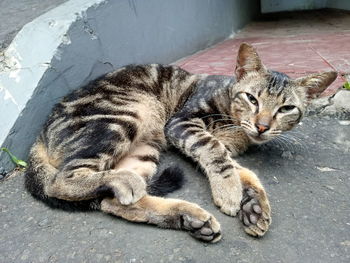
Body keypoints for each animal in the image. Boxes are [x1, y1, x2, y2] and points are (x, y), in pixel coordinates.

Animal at [24, 42, 336, 243]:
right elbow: (217, 154)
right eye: (252, 98)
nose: (262, 126)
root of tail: (40, 133)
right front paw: (230, 194)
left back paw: (190, 217)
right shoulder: (182, 124)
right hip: (126, 115)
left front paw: (254, 204)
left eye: (287, 109)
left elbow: (242, 170)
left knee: (113, 202)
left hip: (143, 149)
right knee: (63, 180)